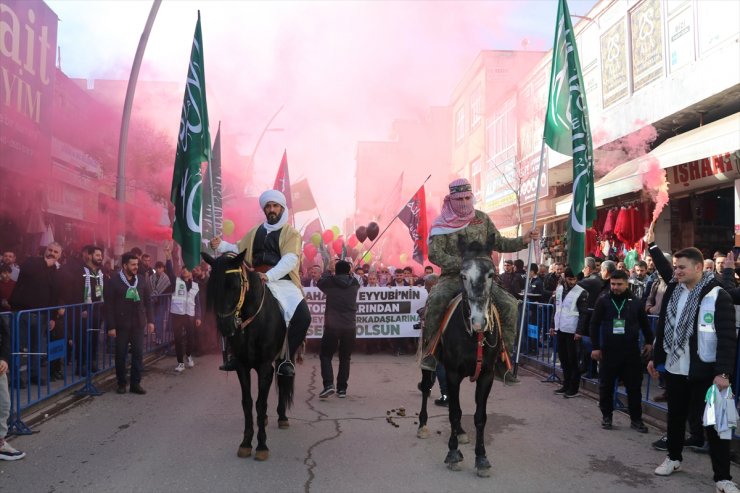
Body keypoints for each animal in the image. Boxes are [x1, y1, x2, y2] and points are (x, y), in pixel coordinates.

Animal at [204, 252, 296, 460]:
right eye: (212, 286)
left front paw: (262, 445)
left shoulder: (264, 366)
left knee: (283, 379)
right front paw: (246, 443)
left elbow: (261, 404)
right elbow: (247, 403)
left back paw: (282, 417)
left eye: (234, 285)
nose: (225, 327)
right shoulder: (242, 366)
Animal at [416, 238, 502, 476]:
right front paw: (453, 454)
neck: (475, 337)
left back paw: (462, 432)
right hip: (429, 361)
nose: (479, 321)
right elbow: (454, 412)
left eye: (491, 274)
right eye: (463, 275)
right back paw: (422, 425)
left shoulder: (486, 375)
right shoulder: (452, 373)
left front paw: (481, 458)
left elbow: (479, 416)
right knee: (425, 388)